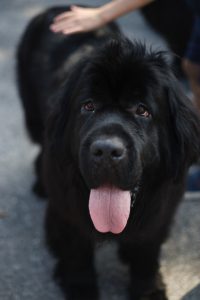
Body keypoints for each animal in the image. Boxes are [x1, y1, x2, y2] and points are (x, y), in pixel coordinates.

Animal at [16, 5, 200, 300]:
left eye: (142, 110)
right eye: (88, 106)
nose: (106, 150)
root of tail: (59, 6)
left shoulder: (159, 213)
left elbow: (146, 251)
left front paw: (147, 288)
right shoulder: (67, 212)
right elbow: (77, 252)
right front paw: (81, 288)